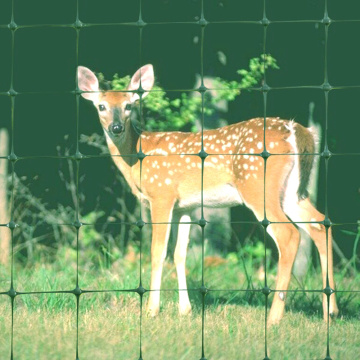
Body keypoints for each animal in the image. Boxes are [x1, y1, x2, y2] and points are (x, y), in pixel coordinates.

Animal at [77, 64, 338, 326]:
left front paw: (151, 310)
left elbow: (157, 251)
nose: (116, 128)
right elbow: (180, 254)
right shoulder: (185, 206)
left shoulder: (162, 194)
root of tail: (296, 130)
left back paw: (274, 317)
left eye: (129, 105)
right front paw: (185, 309)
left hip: (257, 185)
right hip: (292, 190)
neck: (137, 156)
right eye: (102, 106)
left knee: (289, 234)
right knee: (319, 223)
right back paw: (330, 312)